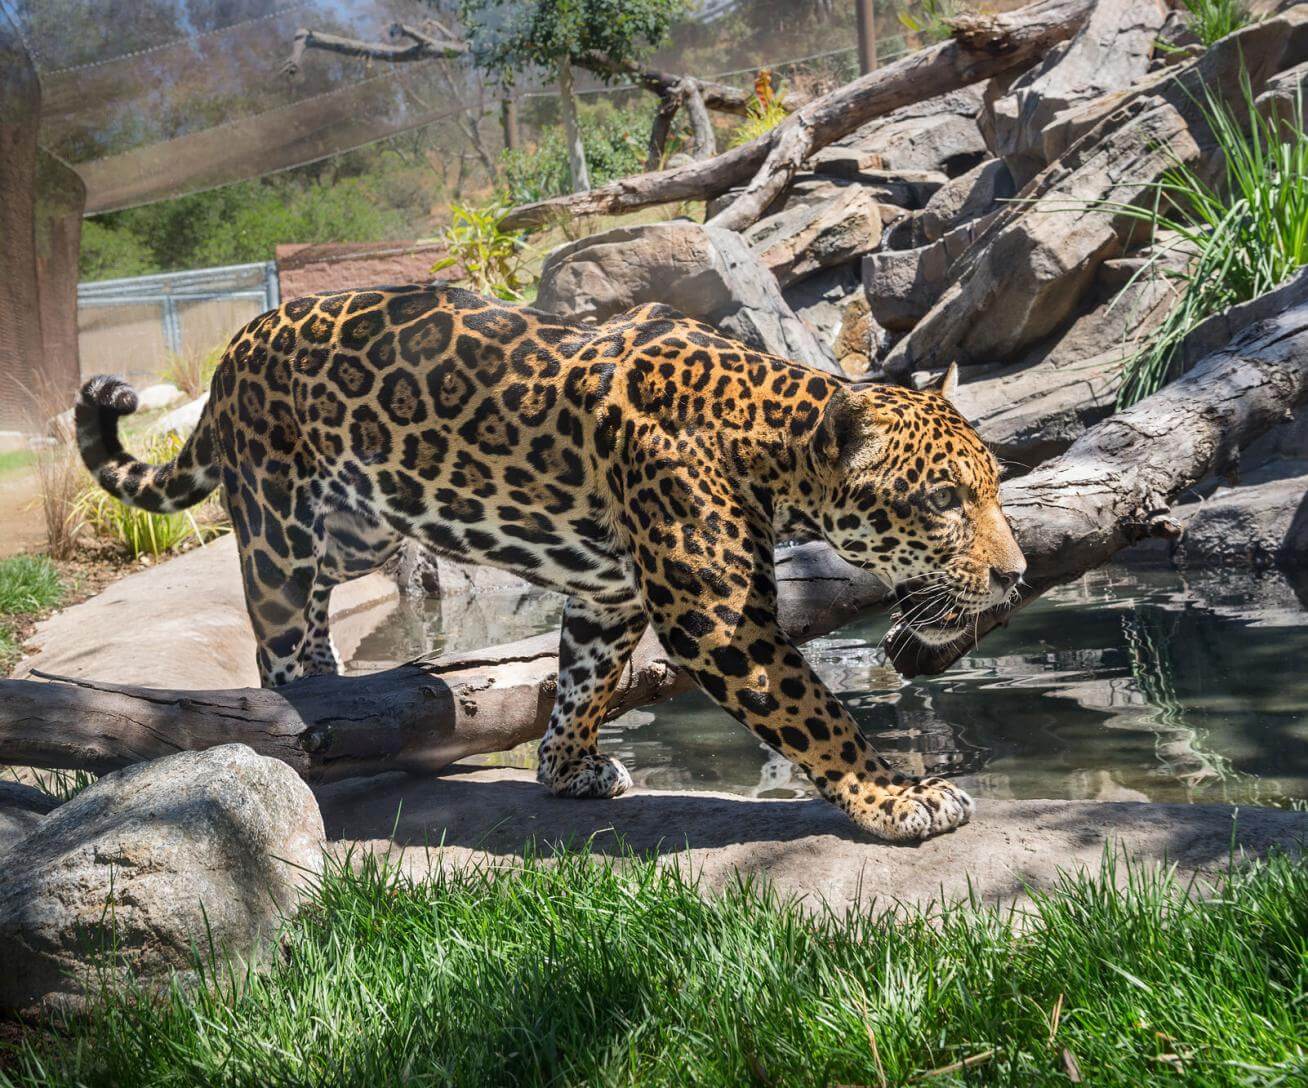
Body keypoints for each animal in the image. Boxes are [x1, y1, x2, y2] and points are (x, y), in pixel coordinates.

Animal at [75, 284, 1025, 842]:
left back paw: (331, 674)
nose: (1013, 575)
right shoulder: (722, 622)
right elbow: (819, 717)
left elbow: (582, 680)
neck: (767, 437)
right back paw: (304, 705)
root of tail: (234, 347)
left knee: (316, 600)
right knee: (271, 622)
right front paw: (899, 797)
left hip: (362, 525)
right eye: (945, 500)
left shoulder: (609, 596)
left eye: (992, 487)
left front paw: (567, 769)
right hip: (279, 523)